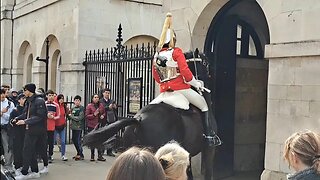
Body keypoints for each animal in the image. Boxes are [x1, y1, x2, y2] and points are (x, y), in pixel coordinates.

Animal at [83, 49, 218, 180]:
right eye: (205, 63)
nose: (210, 75)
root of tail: (139, 119)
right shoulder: (209, 150)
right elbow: (208, 171)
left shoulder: (186, 154)